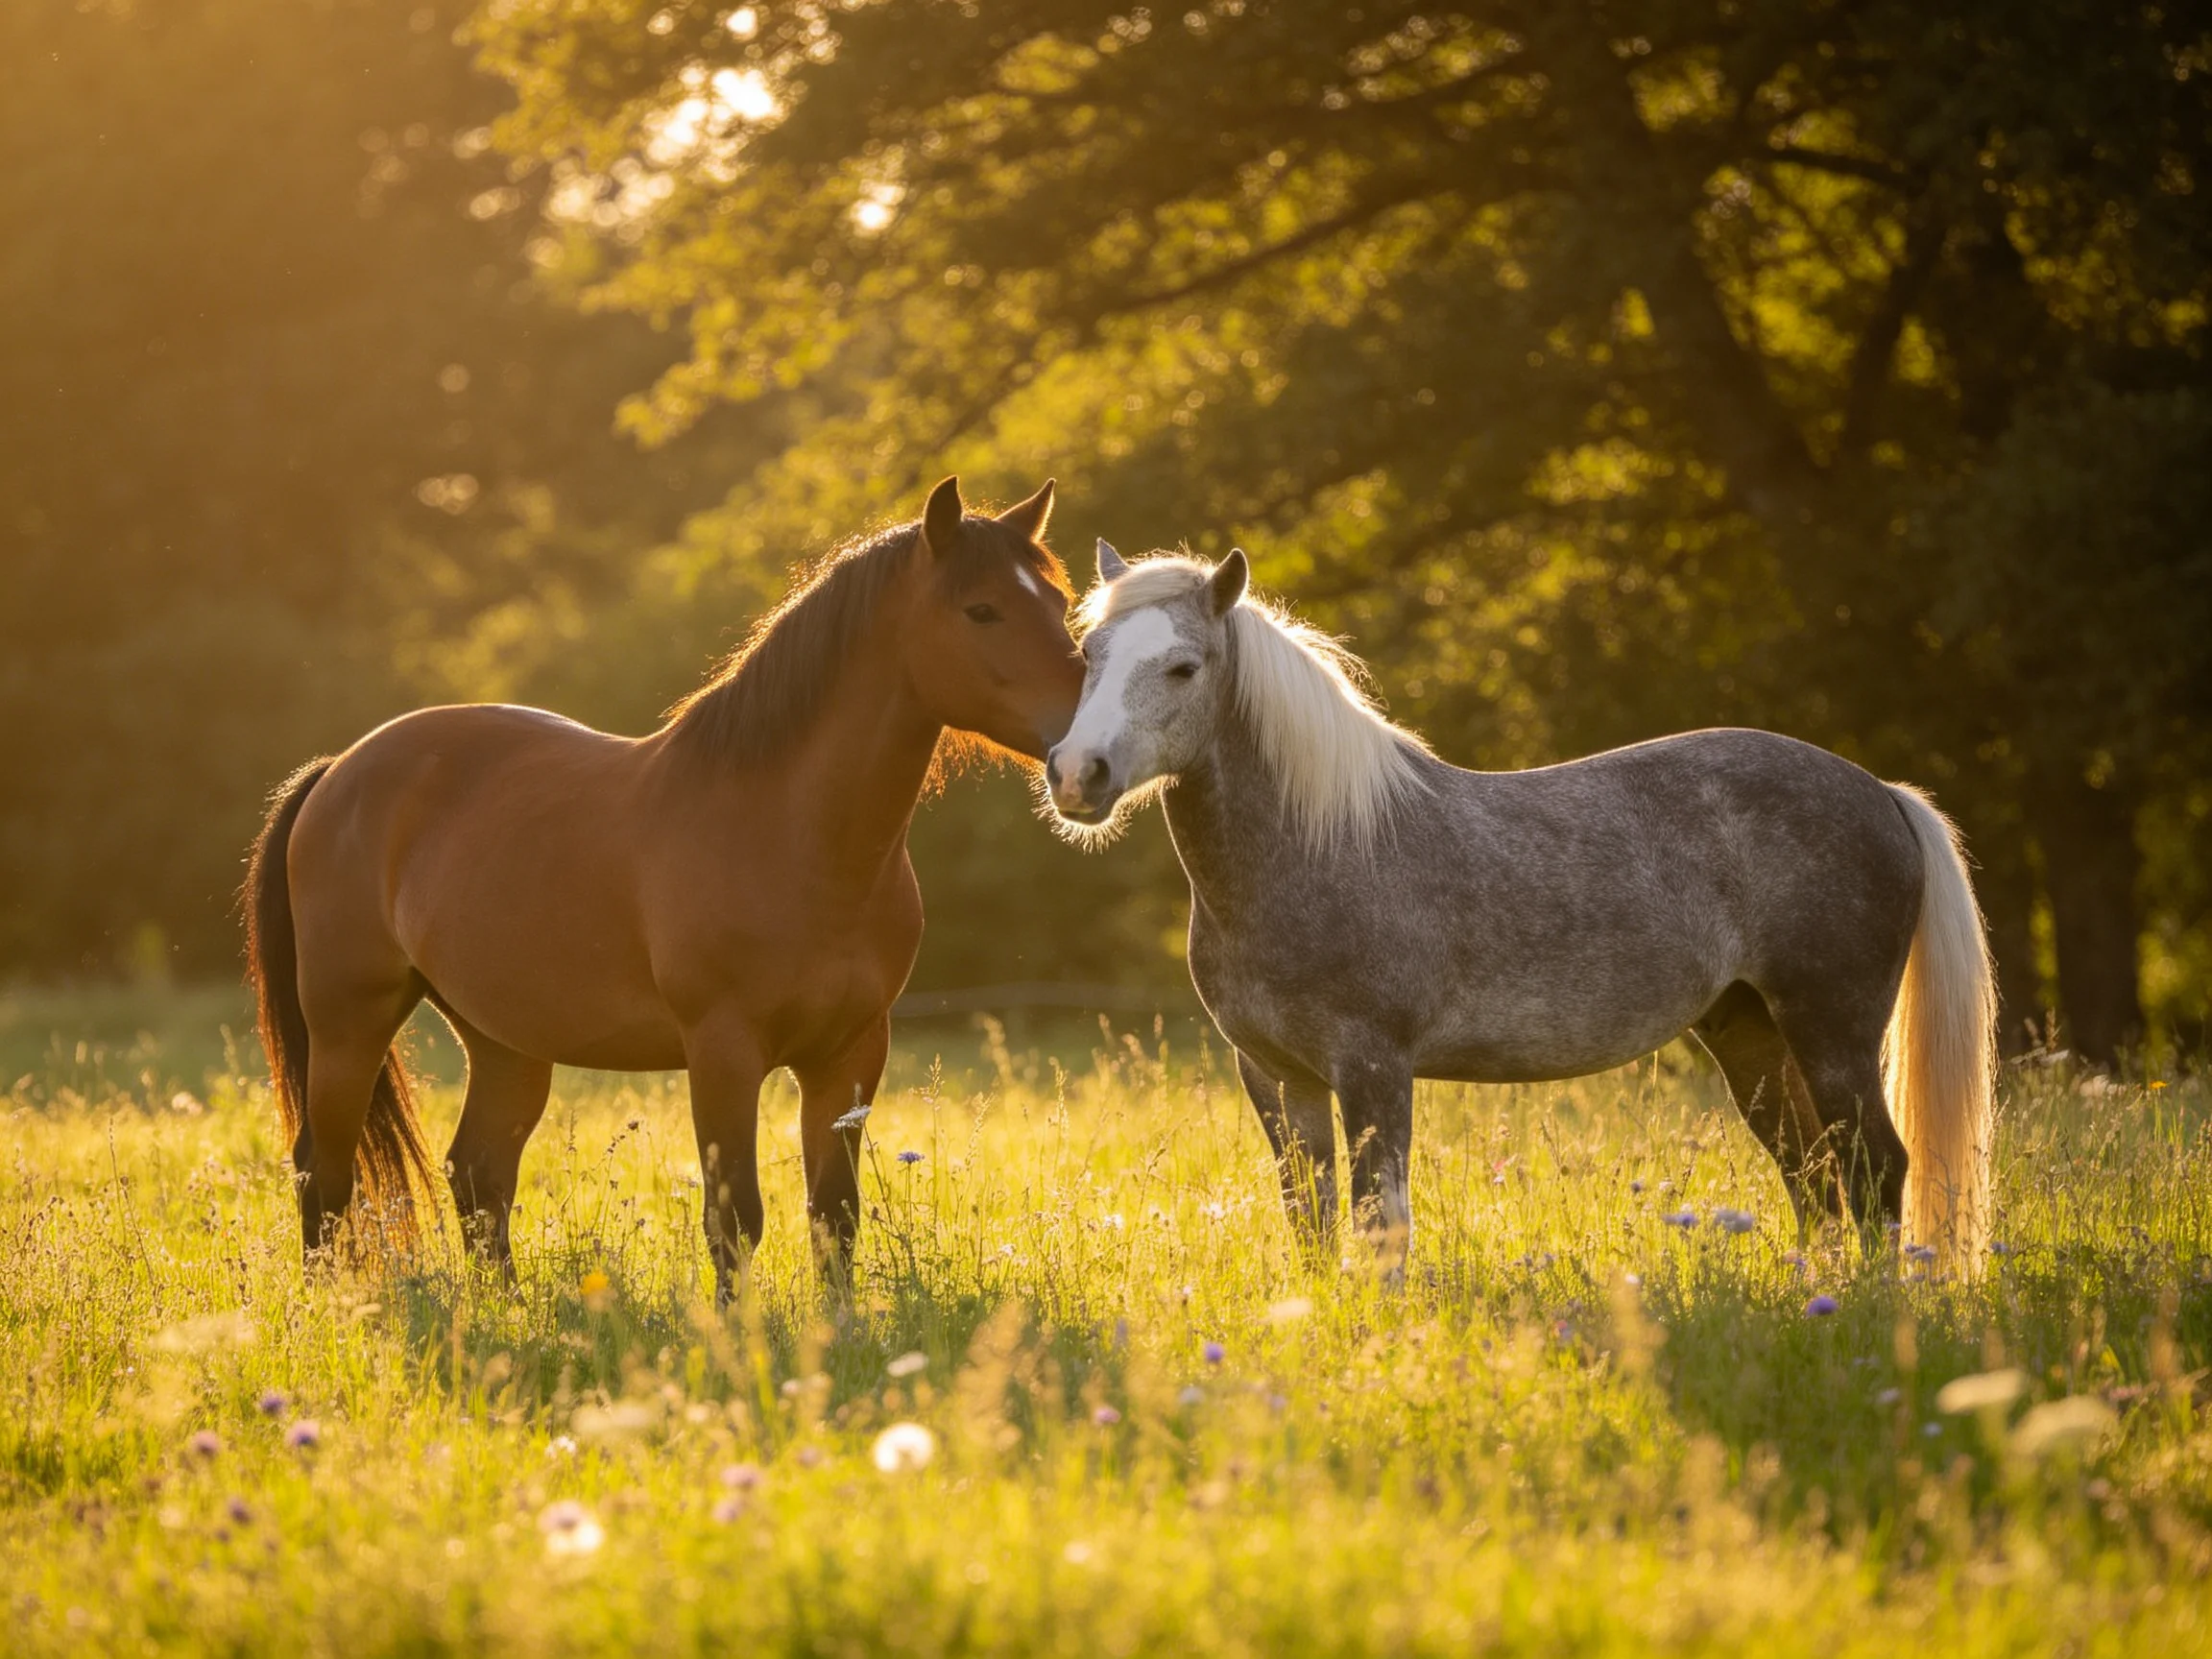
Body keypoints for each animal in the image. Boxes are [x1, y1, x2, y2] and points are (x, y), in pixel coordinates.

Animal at [245, 477, 1083, 1299]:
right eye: (981, 609)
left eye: (1058, 600)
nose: (1087, 743)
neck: (793, 839)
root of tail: (339, 769)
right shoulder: (723, 1052)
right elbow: (736, 1219)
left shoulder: (849, 1055)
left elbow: (834, 1218)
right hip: (350, 1022)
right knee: (324, 1169)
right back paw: (331, 1309)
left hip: (503, 1041)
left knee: (477, 1173)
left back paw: (506, 1313)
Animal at [1044, 543, 1996, 1270]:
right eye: (1089, 656)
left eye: (1183, 667)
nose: (1077, 775)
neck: (1318, 843)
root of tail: (1882, 794)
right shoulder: (1277, 1076)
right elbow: (1311, 1221)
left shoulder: (1373, 1067)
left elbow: (1381, 1224)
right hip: (1753, 1036)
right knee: (1816, 1179)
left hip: (1832, 1030)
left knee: (1877, 1172)